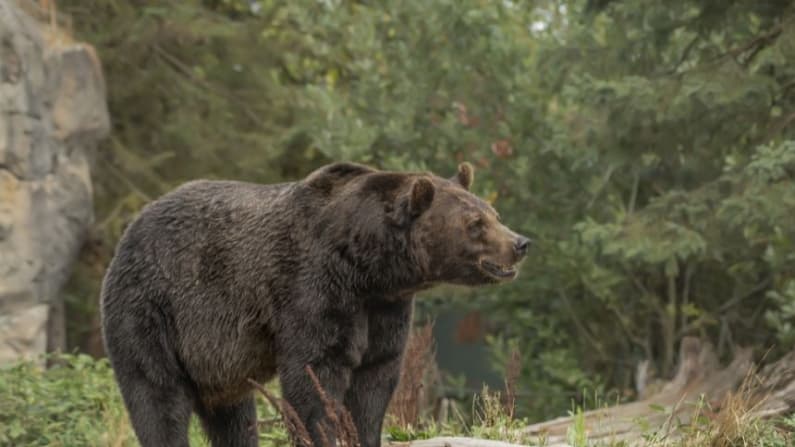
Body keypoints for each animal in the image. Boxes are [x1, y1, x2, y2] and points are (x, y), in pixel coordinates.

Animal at [100, 161, 529, 447]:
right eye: (475, 224)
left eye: (494, 214)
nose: (520, 243)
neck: (367, 266)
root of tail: (129, 231)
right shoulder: (313, 288)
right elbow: (314, 375)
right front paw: (324, 432)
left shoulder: (384, 309)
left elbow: (375, 379)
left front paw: (363, 432)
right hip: (153, 310)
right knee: (157, 396)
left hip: (215, 361)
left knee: (234, 415)